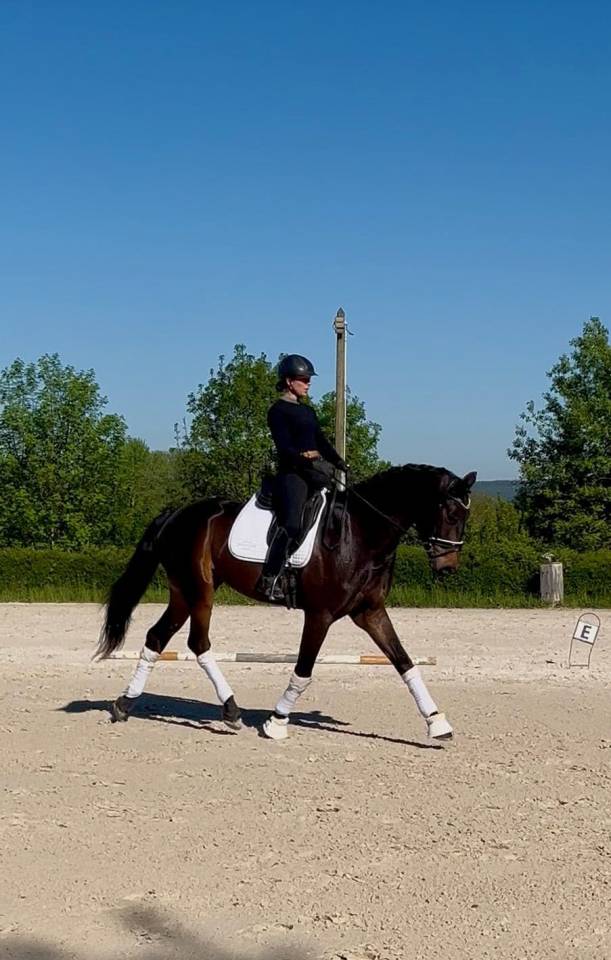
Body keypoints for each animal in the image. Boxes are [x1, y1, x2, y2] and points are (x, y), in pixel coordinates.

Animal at [97, 463, 476, 741]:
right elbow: (304, 670)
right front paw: (277, 721)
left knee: (158, 637)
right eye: (450, 514)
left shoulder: (370, 613)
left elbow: (404, 662)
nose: (447, 568)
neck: (360, 532)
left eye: (464, 517)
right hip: (200, 591)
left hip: (183, 593)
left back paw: (125, 703)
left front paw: (437, 722)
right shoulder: (320, 615)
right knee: (198, 642)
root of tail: (175, 514)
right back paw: (230, 710)